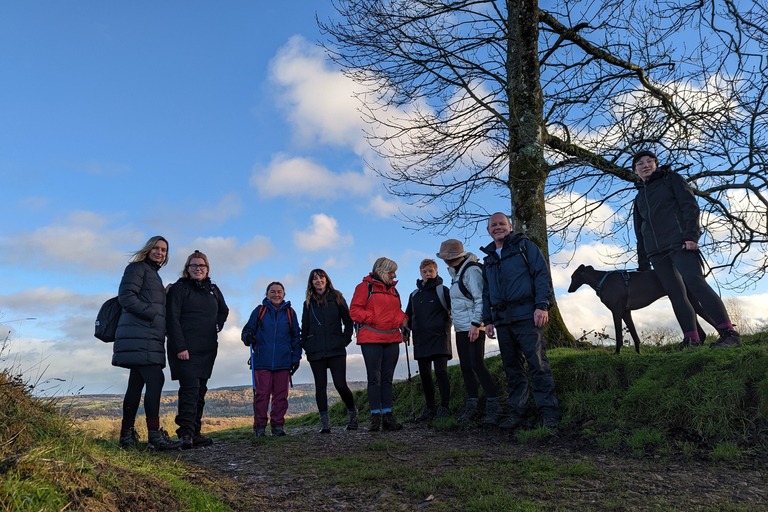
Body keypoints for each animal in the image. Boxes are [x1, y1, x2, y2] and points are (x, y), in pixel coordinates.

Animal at [564, 264, 712, 352]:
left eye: (572, 277)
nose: (569, 290)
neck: (601, 280)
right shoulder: (626, 312)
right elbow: (634, 335)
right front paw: (638, 352)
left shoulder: (616, 311)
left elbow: (618, 335)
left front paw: (617, 353)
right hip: (689, 300)